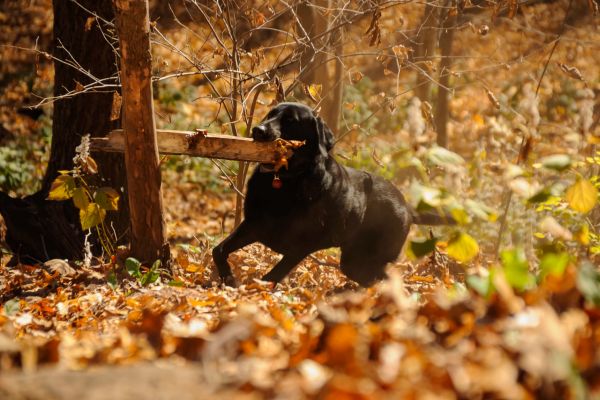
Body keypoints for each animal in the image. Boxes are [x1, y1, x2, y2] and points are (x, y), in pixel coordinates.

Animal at [213, 101, 452, 286]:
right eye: (271, 114)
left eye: (290, 120)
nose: (258, 130)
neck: (287, 180)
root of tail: (407, 207)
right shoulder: (254, 225)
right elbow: (219, 250)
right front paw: (228, 279)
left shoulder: (302, 245)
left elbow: (271, 276)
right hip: (354, 261)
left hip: (368, 256)